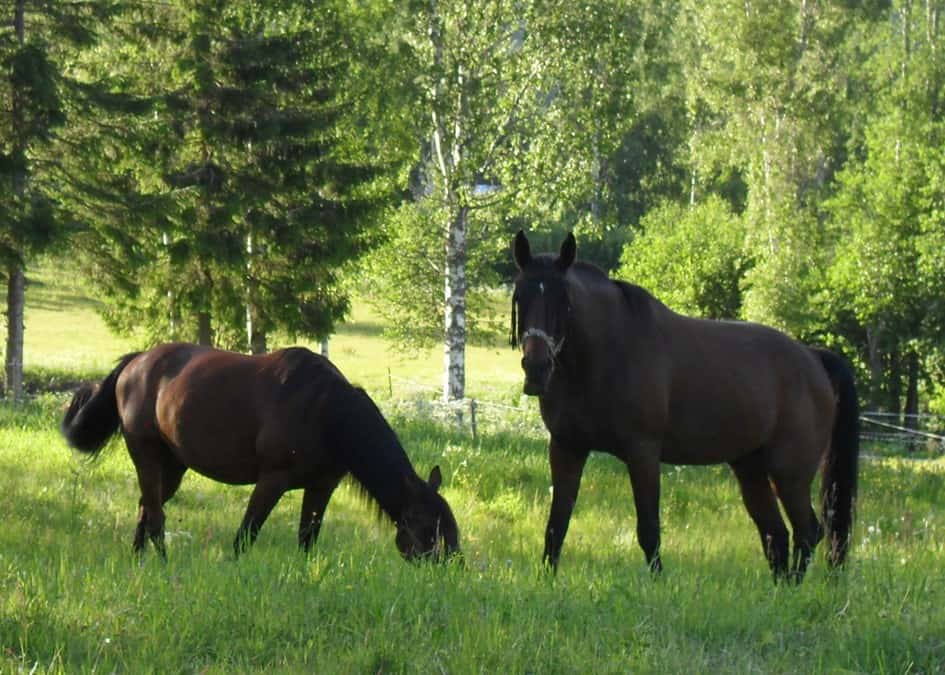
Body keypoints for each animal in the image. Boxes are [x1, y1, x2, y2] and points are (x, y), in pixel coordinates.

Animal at [58, 346, 458, 564]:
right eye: (428, 529)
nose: (451, 569)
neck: (327, 412)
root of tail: (136, 361)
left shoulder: (322, 486)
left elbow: (307, 538)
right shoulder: (272, 480)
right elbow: (246, 534)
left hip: (172, 467)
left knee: (146, 508)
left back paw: (139, 561)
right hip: (146, 455)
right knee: (156, 517)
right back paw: (163, 564)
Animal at [512, 231, 860, 580]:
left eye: (564, 302)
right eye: (519, 298)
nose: (537, 368)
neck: (605, 355)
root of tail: (813, 357)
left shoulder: (643, 453)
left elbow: (649, 530)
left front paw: (657, 584)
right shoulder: (566, 448)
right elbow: (556, 525)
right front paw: (546, 580)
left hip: (790, 473)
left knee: (808, 531)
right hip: (751, 468)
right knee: (775, 533)